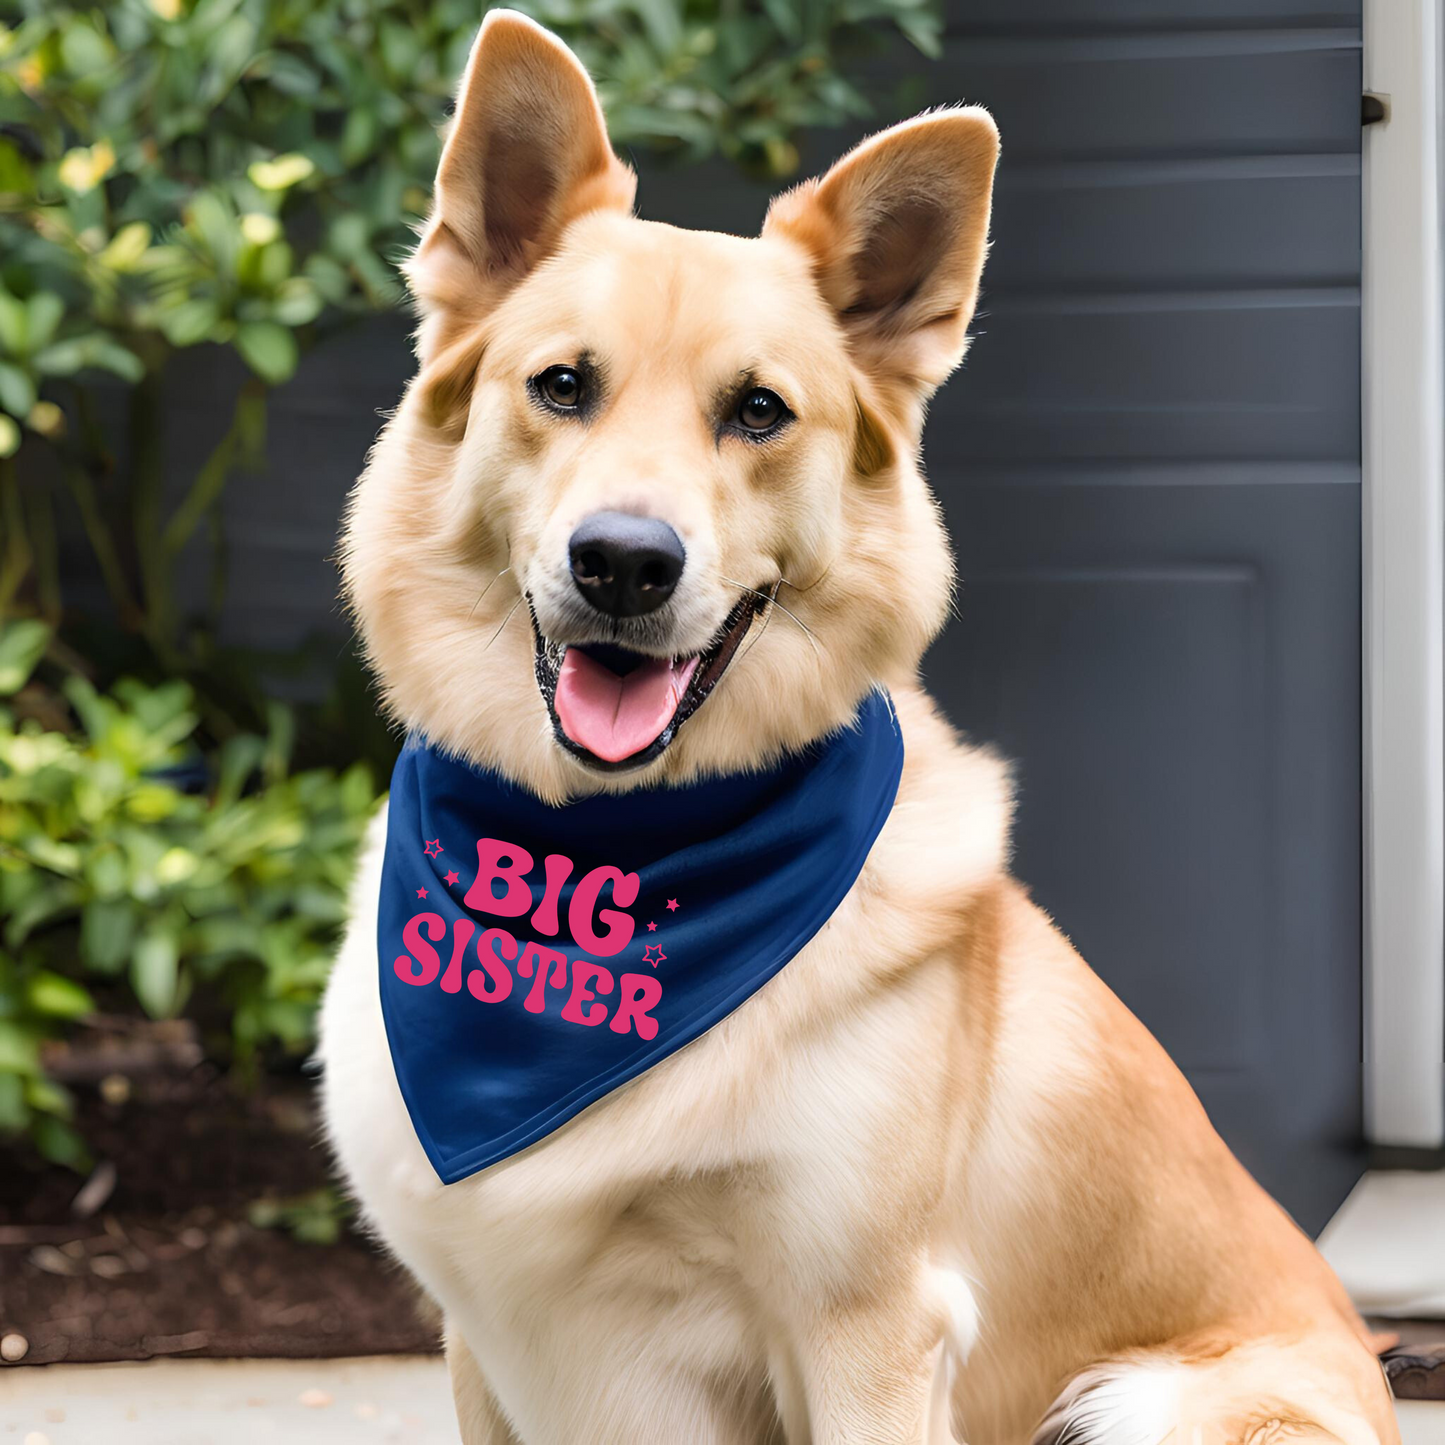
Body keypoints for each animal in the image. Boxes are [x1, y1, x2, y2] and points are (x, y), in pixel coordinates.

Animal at [316, 14, 1398, 1445]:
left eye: (757, 410)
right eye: (559, 385)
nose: (623, 563)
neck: (611, 865)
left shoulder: (866, 1326)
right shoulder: (484, 1343)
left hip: (1158, 1401)